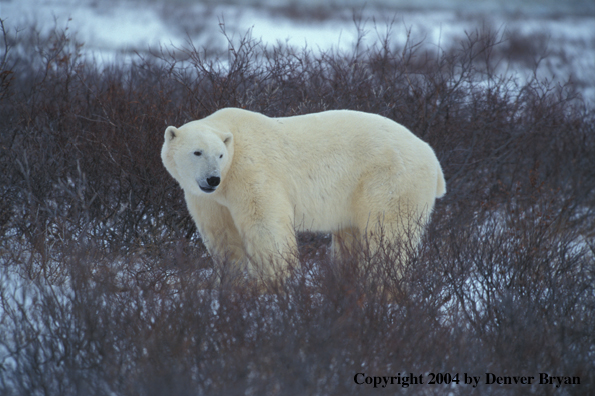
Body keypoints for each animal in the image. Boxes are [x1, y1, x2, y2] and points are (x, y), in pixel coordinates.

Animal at [161, 108, 444, 280]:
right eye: (197, 152)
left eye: (219, 154)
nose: (212, 178)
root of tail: (432, 155)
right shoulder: (207, 198)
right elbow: (221, 234)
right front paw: (233, 281)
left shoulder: (252, 170)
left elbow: (266, 225)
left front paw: (270, 283)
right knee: (350, 238)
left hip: (389, 180)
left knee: (387, 235)